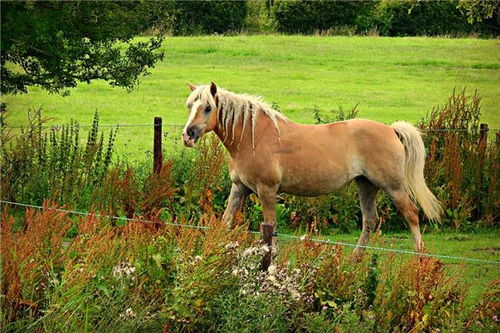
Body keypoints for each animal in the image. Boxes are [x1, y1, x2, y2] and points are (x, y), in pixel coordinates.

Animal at [181, 81, 442, 255]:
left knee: (412, 214)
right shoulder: (239, 188)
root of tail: (391, 130)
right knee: (369, 221)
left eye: (207, 108)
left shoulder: (267, 191)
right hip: (366, 186)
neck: (252, 137)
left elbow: (270, 227)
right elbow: (225, 222)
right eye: (189, 106)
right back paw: (355, 259)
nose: (188, 135)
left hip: (393, 187)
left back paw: (418, 255)